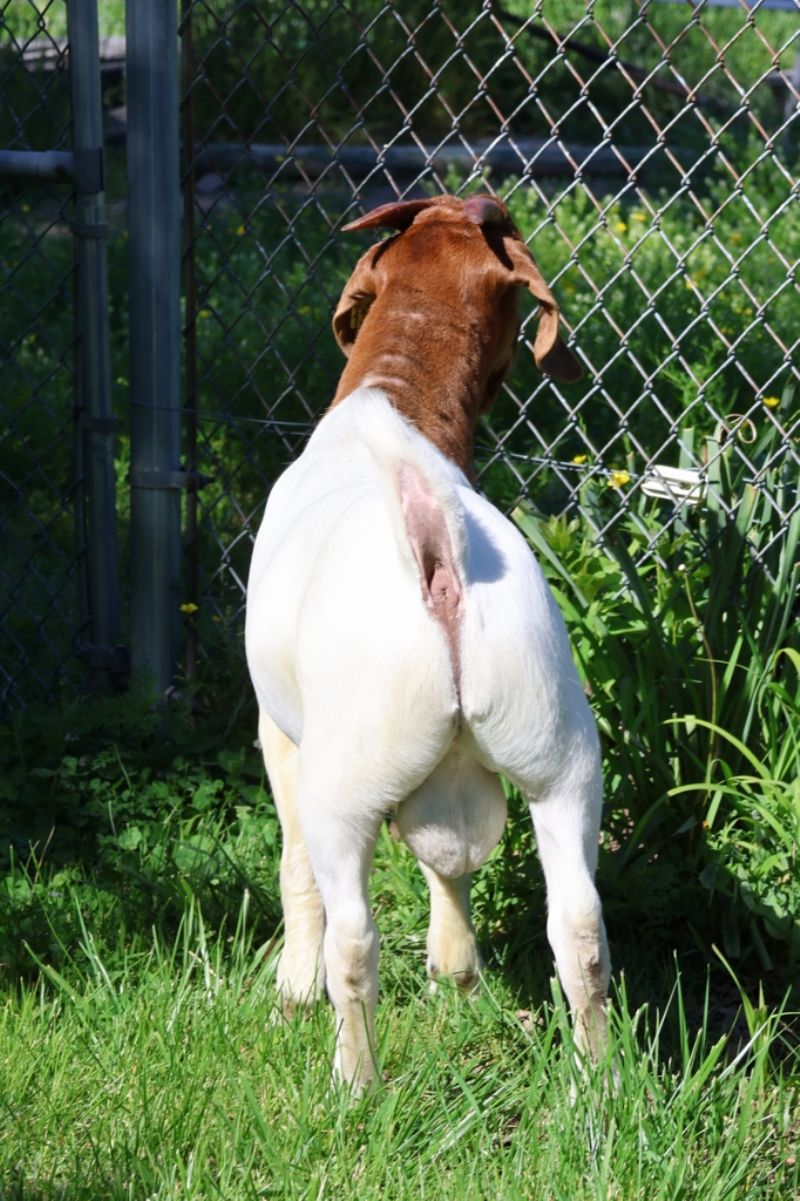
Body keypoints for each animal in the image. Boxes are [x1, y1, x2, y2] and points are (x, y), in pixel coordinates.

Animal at [245, 193, 610, 1091]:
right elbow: (449, 860)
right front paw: (457, 978)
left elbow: (294, 867)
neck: (396, 395)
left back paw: (353, 1082)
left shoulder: (277, 728)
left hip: (342, 784)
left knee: (352, 936)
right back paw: (599, 1082)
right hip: (562, 757)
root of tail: (433, 536)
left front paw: (290, 993)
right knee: (580, 929)